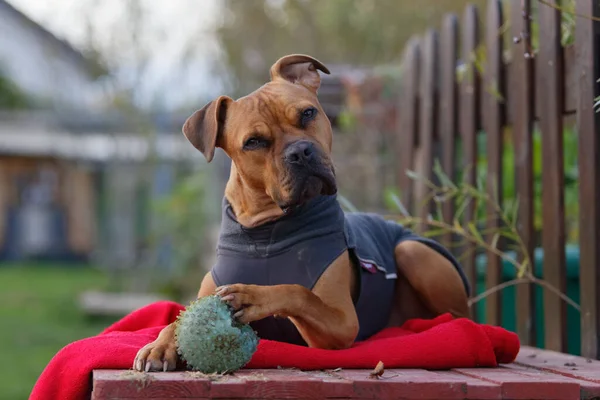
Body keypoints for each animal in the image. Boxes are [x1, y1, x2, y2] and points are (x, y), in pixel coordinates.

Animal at [134, 53, 472, 372]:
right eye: (253, 142)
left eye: (307, 113)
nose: (300, 152)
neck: (267, 229)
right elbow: (175, 319)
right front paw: (158, 346)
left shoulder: (343, 322)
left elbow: (298, 291)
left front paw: (253, 296)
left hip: (413, 251)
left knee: (459, 316)